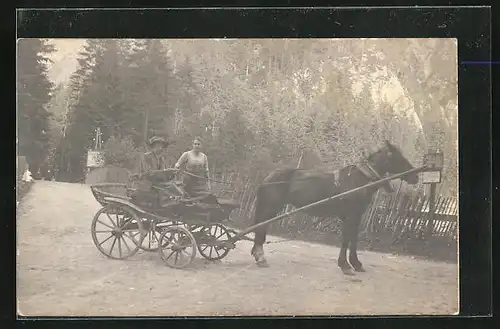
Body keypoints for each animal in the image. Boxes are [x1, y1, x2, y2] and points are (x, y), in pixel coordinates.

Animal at [250, 140, 418, 274]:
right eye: (396, 157)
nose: (415, 177)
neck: (359, 180)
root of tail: (269, 176)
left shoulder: (356, 216)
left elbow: (353, 239)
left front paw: (356, 264)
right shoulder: (351, 216)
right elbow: (346, 239)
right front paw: (346, 266)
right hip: (271, 207)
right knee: (261, 228)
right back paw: (261, 257)